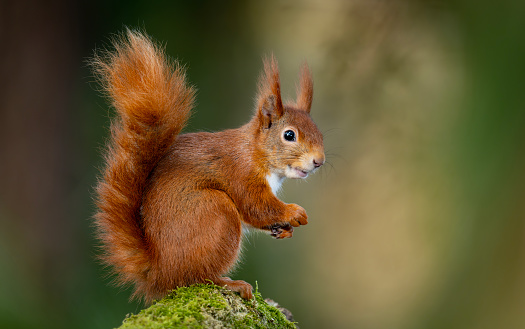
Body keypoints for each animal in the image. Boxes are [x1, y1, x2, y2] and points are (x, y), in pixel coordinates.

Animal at [92, 30, 326, 302]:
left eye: (320, 133)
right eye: (289, 135)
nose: (319, 161)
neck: (255, 152)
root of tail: (159, 272)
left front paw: (285, 230)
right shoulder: (241, 173)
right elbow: (257, 206)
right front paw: (294, 212)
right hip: (215, 213)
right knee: (196, 278)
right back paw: (230, 283)